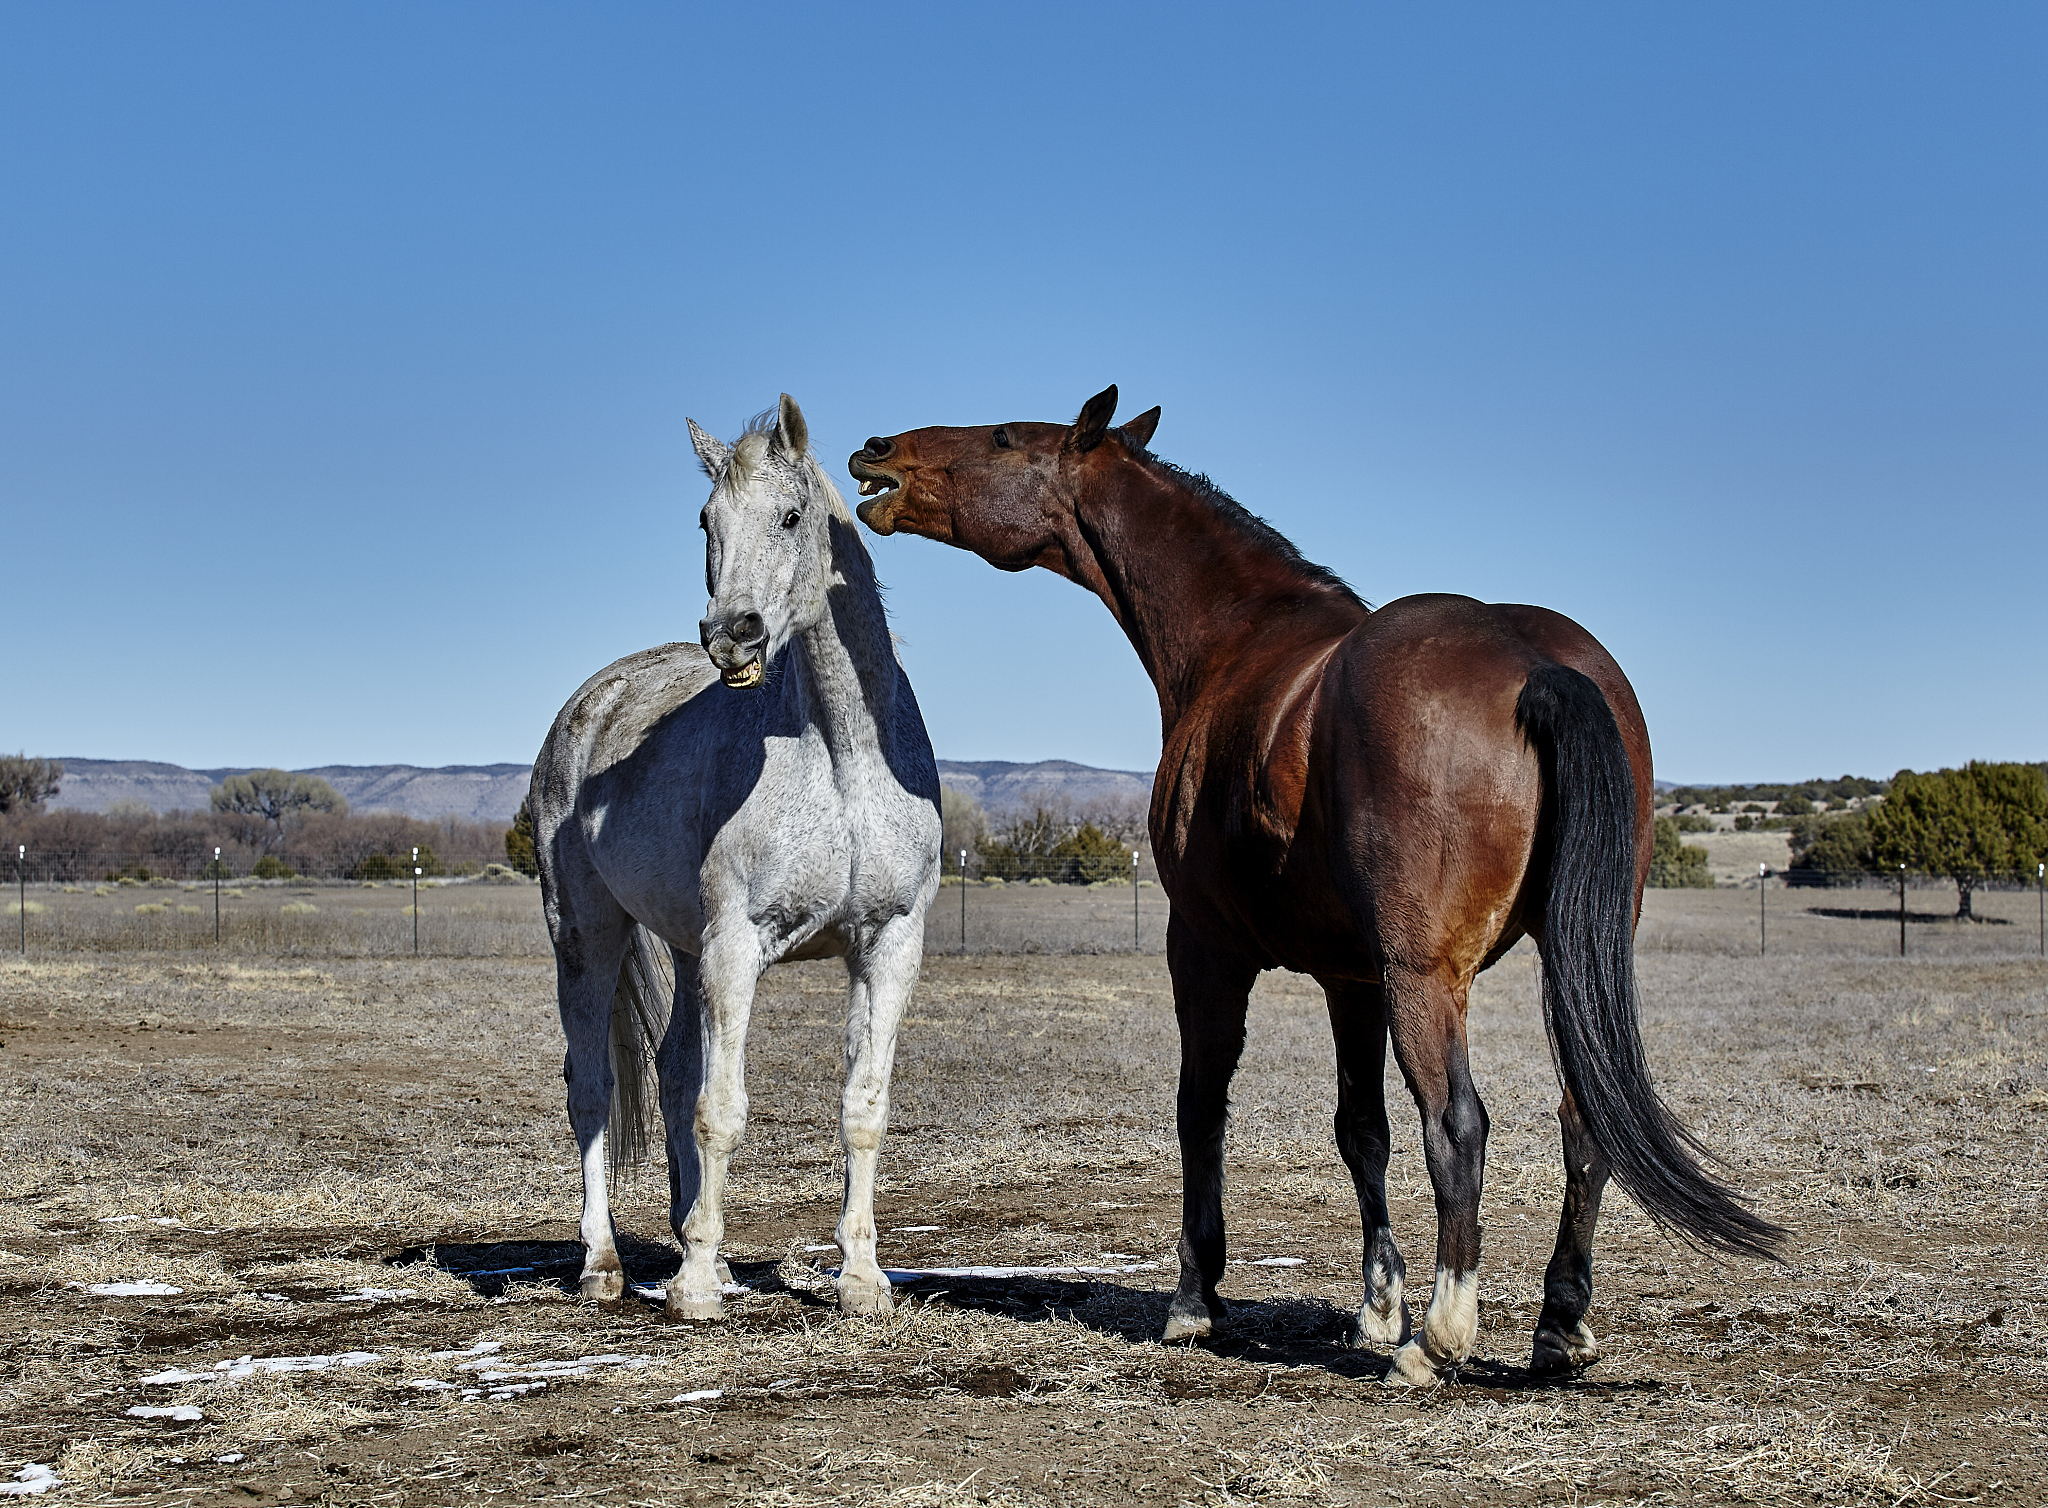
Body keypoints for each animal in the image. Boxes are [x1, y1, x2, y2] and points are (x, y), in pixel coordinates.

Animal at [532, 394, 943, 1321]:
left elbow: (863, 1107)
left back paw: (702, 1252)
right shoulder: (735, 946)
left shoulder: (889, 944)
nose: (732, 636)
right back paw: (605, 1264)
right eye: (706, 520)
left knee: (672, 1071)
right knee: (593, 1089)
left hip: (683, 951)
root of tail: (588, 704)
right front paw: (690, 1292)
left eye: (791, 516)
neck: (842, 757)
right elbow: (721, 1110)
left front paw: (862, 1281)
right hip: (588, 935)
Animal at [848, 386, 1783, 1385]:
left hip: (1426, 980)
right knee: (1583, 1121)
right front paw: (1376, 1302)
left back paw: (1438, 1338)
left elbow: (1202, 1109)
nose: (876, 452)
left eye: (1003, 438)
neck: (1239, 641)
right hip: (1561, 961)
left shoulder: (1206, 950)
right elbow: (1360, 1129)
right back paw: (1558, 1324)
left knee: (1459, 1125)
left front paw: (1197, 1299)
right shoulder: (1352, 979)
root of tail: (1537, 665)